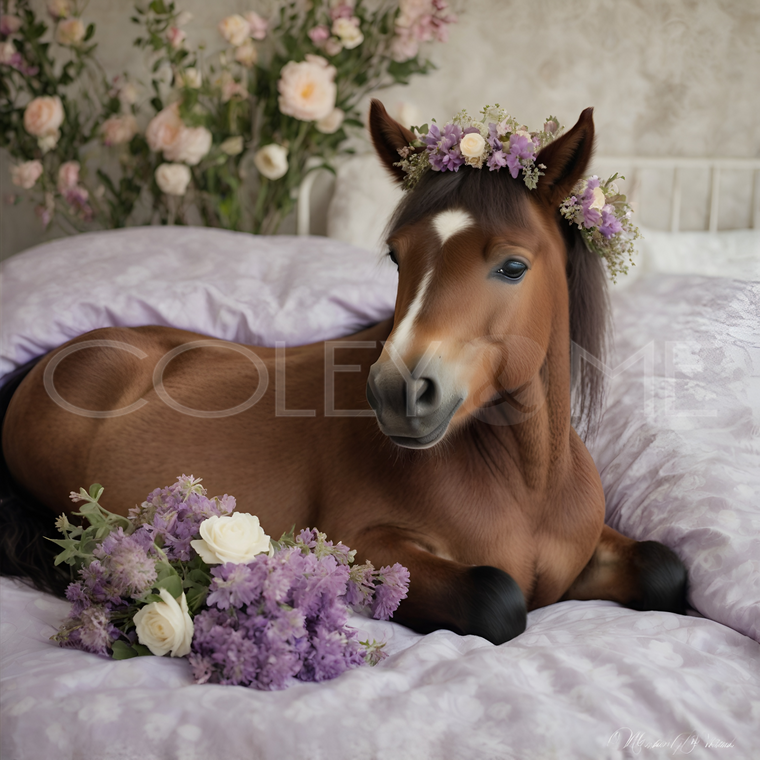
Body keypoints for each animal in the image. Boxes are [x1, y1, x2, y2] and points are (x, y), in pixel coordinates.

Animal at [0, 101, 687, 644]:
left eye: (514, 267)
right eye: (396, 255)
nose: (397, 391)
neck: (526, 482)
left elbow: (667, 568)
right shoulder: (366, 546)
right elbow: (499, 597)